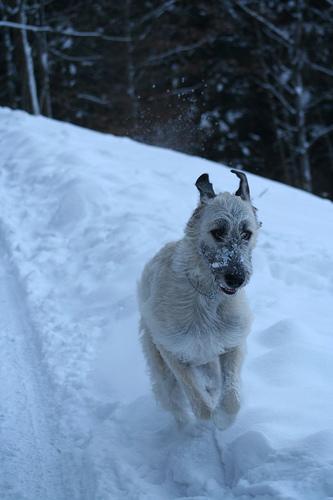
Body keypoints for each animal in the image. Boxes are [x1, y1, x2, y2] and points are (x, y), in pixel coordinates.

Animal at [137, 170, 260, 428]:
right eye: (218, 231)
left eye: (246, 233)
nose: (236, 278)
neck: (209, 297)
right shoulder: (172, 350)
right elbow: (199, 403)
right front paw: (210, 415)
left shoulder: (232, 344)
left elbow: (232, 397)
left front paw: (223, 417)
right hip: (159, 365)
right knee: (173, 399)